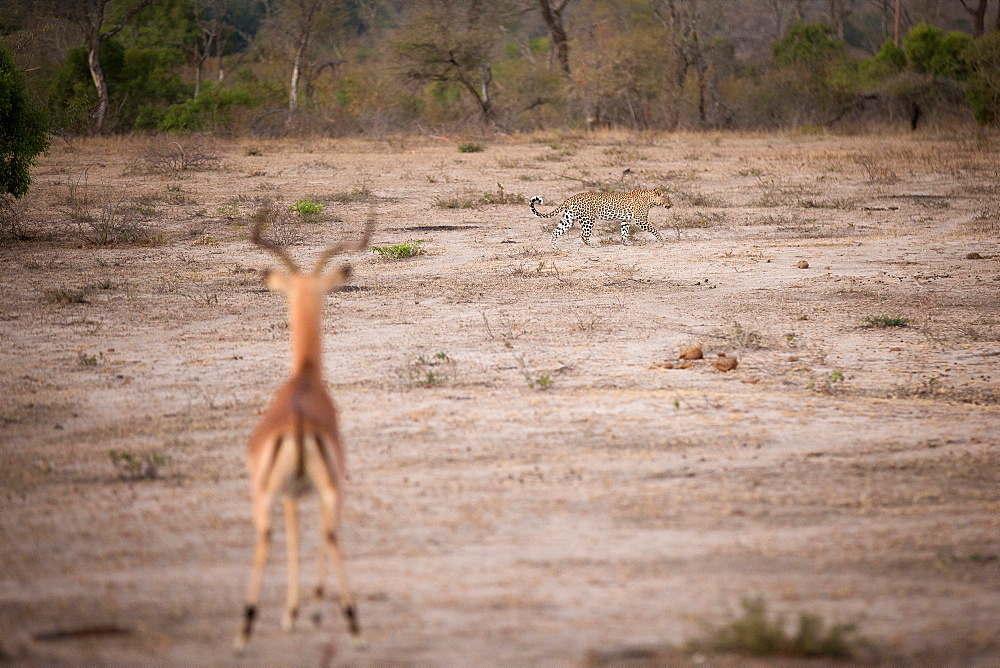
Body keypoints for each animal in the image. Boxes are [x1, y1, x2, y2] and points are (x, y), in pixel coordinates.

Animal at [532, 189, 672, 249]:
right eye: (667, 198)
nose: (671, 204)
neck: (650, 200)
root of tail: (571, 198)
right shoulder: (641, 220)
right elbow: (654, 229)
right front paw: (661, 241)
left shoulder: (626, 220)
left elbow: (624, 232)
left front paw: (626, 242)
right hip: (588, 219)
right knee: (583, 235)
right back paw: (594, 245)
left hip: (568, 219)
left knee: (555, 231)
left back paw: (554, 246)